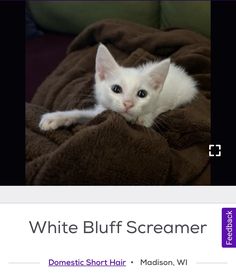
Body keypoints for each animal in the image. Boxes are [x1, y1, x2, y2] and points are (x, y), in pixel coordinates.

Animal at [38, 42, 197, 129]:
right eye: (116, 89)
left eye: (142, 94)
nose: (128, 104)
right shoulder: (104, 110)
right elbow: (84, 113)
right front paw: (55, 118)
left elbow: (147, 116)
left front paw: (142, 118)